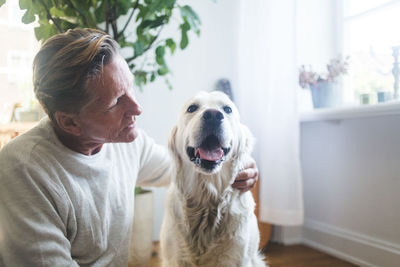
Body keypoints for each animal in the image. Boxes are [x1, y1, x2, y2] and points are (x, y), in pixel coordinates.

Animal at [159, 91, 266, 266]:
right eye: (192, 108)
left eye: (227, 109)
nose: (213, 115)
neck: (207, 196)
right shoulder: (174, 258)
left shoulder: (238, 258)